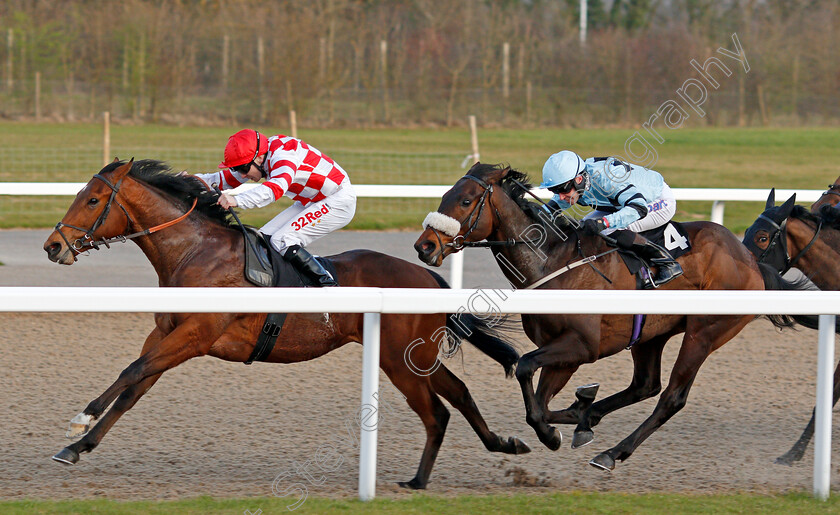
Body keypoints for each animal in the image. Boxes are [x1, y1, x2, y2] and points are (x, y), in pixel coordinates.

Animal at [42, 159, 528, 490]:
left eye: (92, 199)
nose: (52, 246)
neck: (195, 252)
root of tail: (427, 275)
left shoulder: (194, 335)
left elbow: (132, 372)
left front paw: (80, 421)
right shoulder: (165, 333)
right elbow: (133, 388)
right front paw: (77, 447)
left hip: (398, 359)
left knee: (435, 411)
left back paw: (420, 480)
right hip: (414, 354)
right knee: (457, 394)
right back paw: (502, 445)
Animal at [414, 162, 808, 472]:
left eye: (465, 201)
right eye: (445, 195)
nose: (424, 246)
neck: (552, 262)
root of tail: (749, 258)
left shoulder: (581, 346)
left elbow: (527, 372)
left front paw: (557, 430)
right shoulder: (566, 353)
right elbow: (541, 402)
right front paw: (578, 413)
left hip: (705, 332)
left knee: (671, 397)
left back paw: (613, 453)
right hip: (651, 334)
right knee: (645, 385)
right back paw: (590, 419)